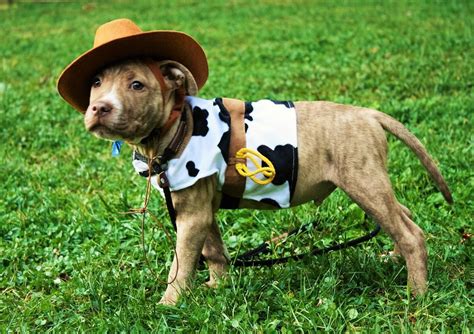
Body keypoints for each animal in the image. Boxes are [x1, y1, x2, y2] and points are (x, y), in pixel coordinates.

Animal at [83, 58, 454, 306]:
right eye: (96, 82)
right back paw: (394, 259)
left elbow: (181, 264)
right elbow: (213, 251)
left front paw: (169, 304)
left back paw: (416, 293)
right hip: (371, 182)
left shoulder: (192, 216)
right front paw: (218, 288)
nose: (99, 108)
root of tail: (368, 114)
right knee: (403, 216)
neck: (177, 126)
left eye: (137, 85)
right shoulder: (202, 210)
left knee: (410, 234)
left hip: (364, 183)